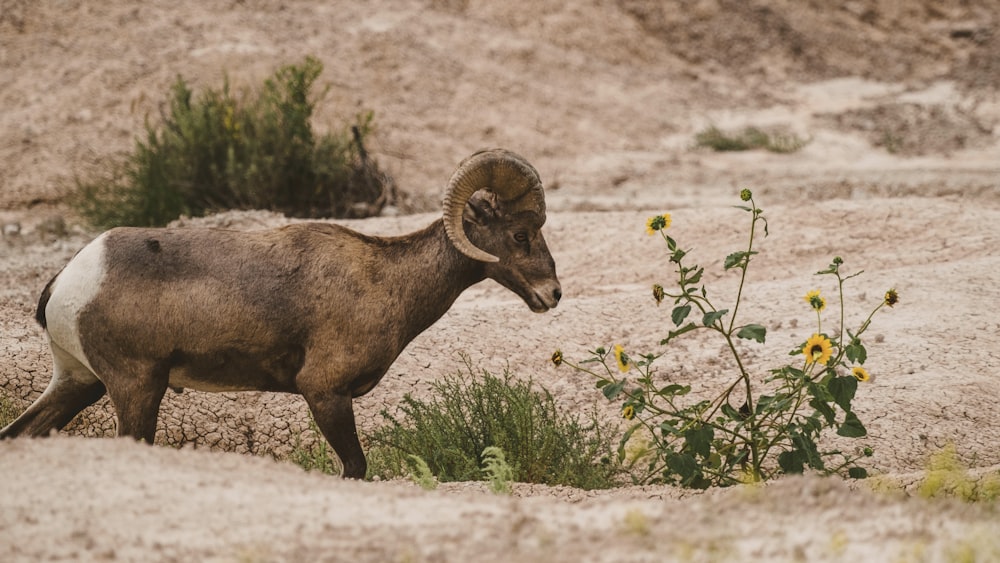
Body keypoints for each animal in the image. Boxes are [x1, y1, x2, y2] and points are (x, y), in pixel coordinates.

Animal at [0, 148, 564, 478]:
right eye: (520, 235)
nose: (553, 294)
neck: (387, 281)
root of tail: (67, 281)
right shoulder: (325, 391)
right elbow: (355, 467)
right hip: (136, 388)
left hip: (79, 383)